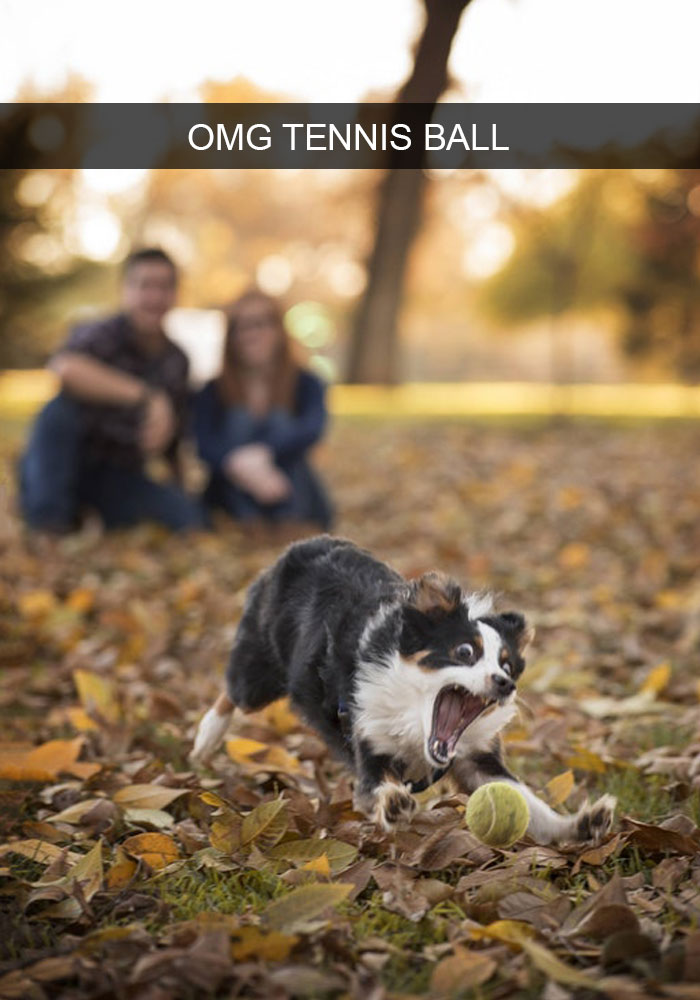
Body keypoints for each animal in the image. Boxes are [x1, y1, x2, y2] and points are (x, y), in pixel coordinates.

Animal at [191, 536, 612, 840]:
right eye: (465, 652)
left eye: (508, 665)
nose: (505, 684)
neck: (415, 718)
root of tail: (302, 545)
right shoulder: (368, 738)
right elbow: (377, 788)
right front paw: (392, 804)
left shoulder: (477, 760)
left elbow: (527, 799)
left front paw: (578, 824)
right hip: (257, 675)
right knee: (232, 693)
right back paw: (206, 737)